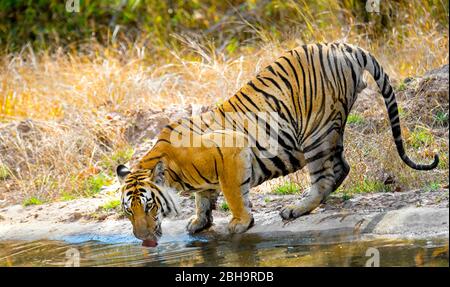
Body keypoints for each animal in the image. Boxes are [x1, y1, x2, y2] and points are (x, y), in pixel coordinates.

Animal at [115, 43, 436, 248]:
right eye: (128, 211)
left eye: (149, 206)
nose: (141, 238)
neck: (171, 170)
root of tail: (345, 47)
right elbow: (203, 198)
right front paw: (199, 222)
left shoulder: (232, 151)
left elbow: (233, 193)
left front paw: (240, 222)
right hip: (329, 132)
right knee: (342, 167)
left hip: (315, 131)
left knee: (324, 175)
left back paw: (295, 209)